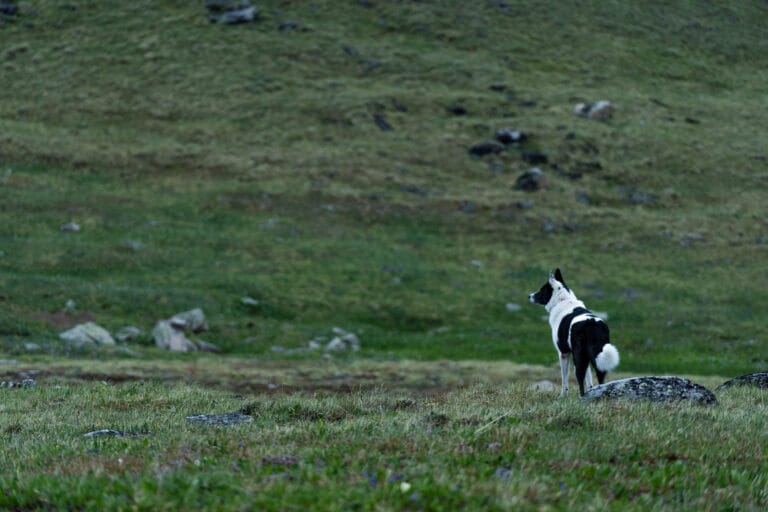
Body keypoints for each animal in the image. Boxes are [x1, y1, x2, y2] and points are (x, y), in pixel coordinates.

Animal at [528, 270, 616, 398]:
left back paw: (582, 397)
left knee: (580, 378)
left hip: (578, 357)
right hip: (598, 356)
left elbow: (564, 379)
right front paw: (591, 390)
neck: (562, 300)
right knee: (600, 377)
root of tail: (591, 323)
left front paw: (562, 396)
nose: (529, 296)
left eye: (541, 290)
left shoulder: (563, 353)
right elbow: (589, 379)